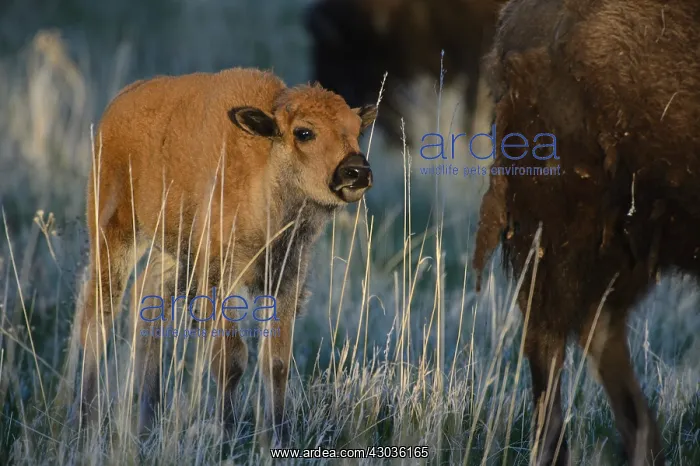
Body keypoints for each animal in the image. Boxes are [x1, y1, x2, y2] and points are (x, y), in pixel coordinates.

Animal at [72, 67, 377, 445]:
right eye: (304, 132)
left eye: (356, 130)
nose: (357, 171)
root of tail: (119, 104)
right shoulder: (219, 281)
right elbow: (231, 359)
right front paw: (226, 435)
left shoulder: (285, 281)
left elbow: (276, 363)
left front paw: (277, 437)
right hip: (115, 233)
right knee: (99, 314)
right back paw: (85, 420)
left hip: (173, 254)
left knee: (147, 298)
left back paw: (146, 422)